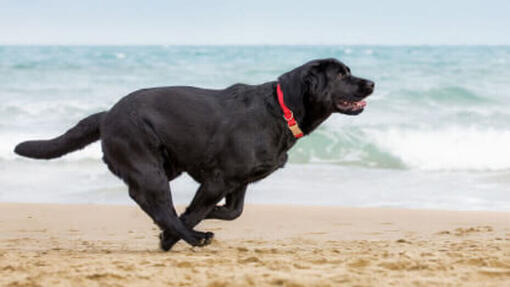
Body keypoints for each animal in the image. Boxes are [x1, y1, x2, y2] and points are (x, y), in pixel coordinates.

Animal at [14, 58, 374, 252]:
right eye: (341, 75)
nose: (370, 83)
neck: (282, 109)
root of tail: (106, 116)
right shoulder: (219, 179)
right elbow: (196, 211)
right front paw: (174, 235)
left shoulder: (238, 182)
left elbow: (232, 212)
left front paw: (205, 217)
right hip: (149, 167)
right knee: (157, 205)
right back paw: (189, 237)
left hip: (167, 165)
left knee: (149, 202)